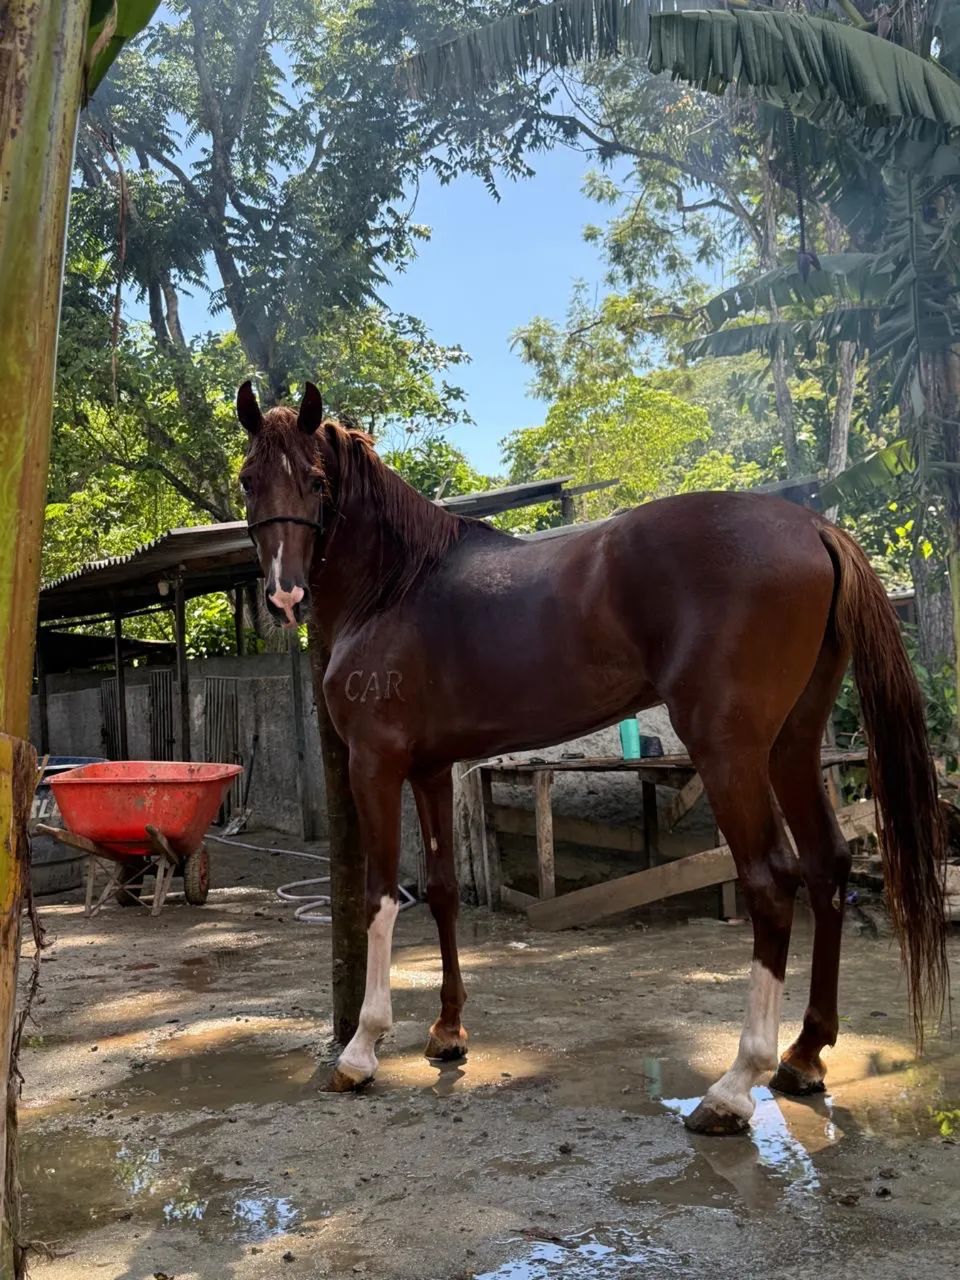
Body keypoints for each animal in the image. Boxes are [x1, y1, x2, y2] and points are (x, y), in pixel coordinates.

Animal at [236, 379, 947, 1135]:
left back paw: (732, 1087)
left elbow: (379, 895)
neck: (396, 585)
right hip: (792, 745)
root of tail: (812, 528)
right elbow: (443, 889)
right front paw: (448, 1033)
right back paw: (804, 1056)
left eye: (316, 481)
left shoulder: (375, 763)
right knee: (826, 865)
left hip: (729, 751)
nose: (283, 593)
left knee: (772, 881)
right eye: (250, 479)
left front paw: (361, 1050)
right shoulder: (430, 769)